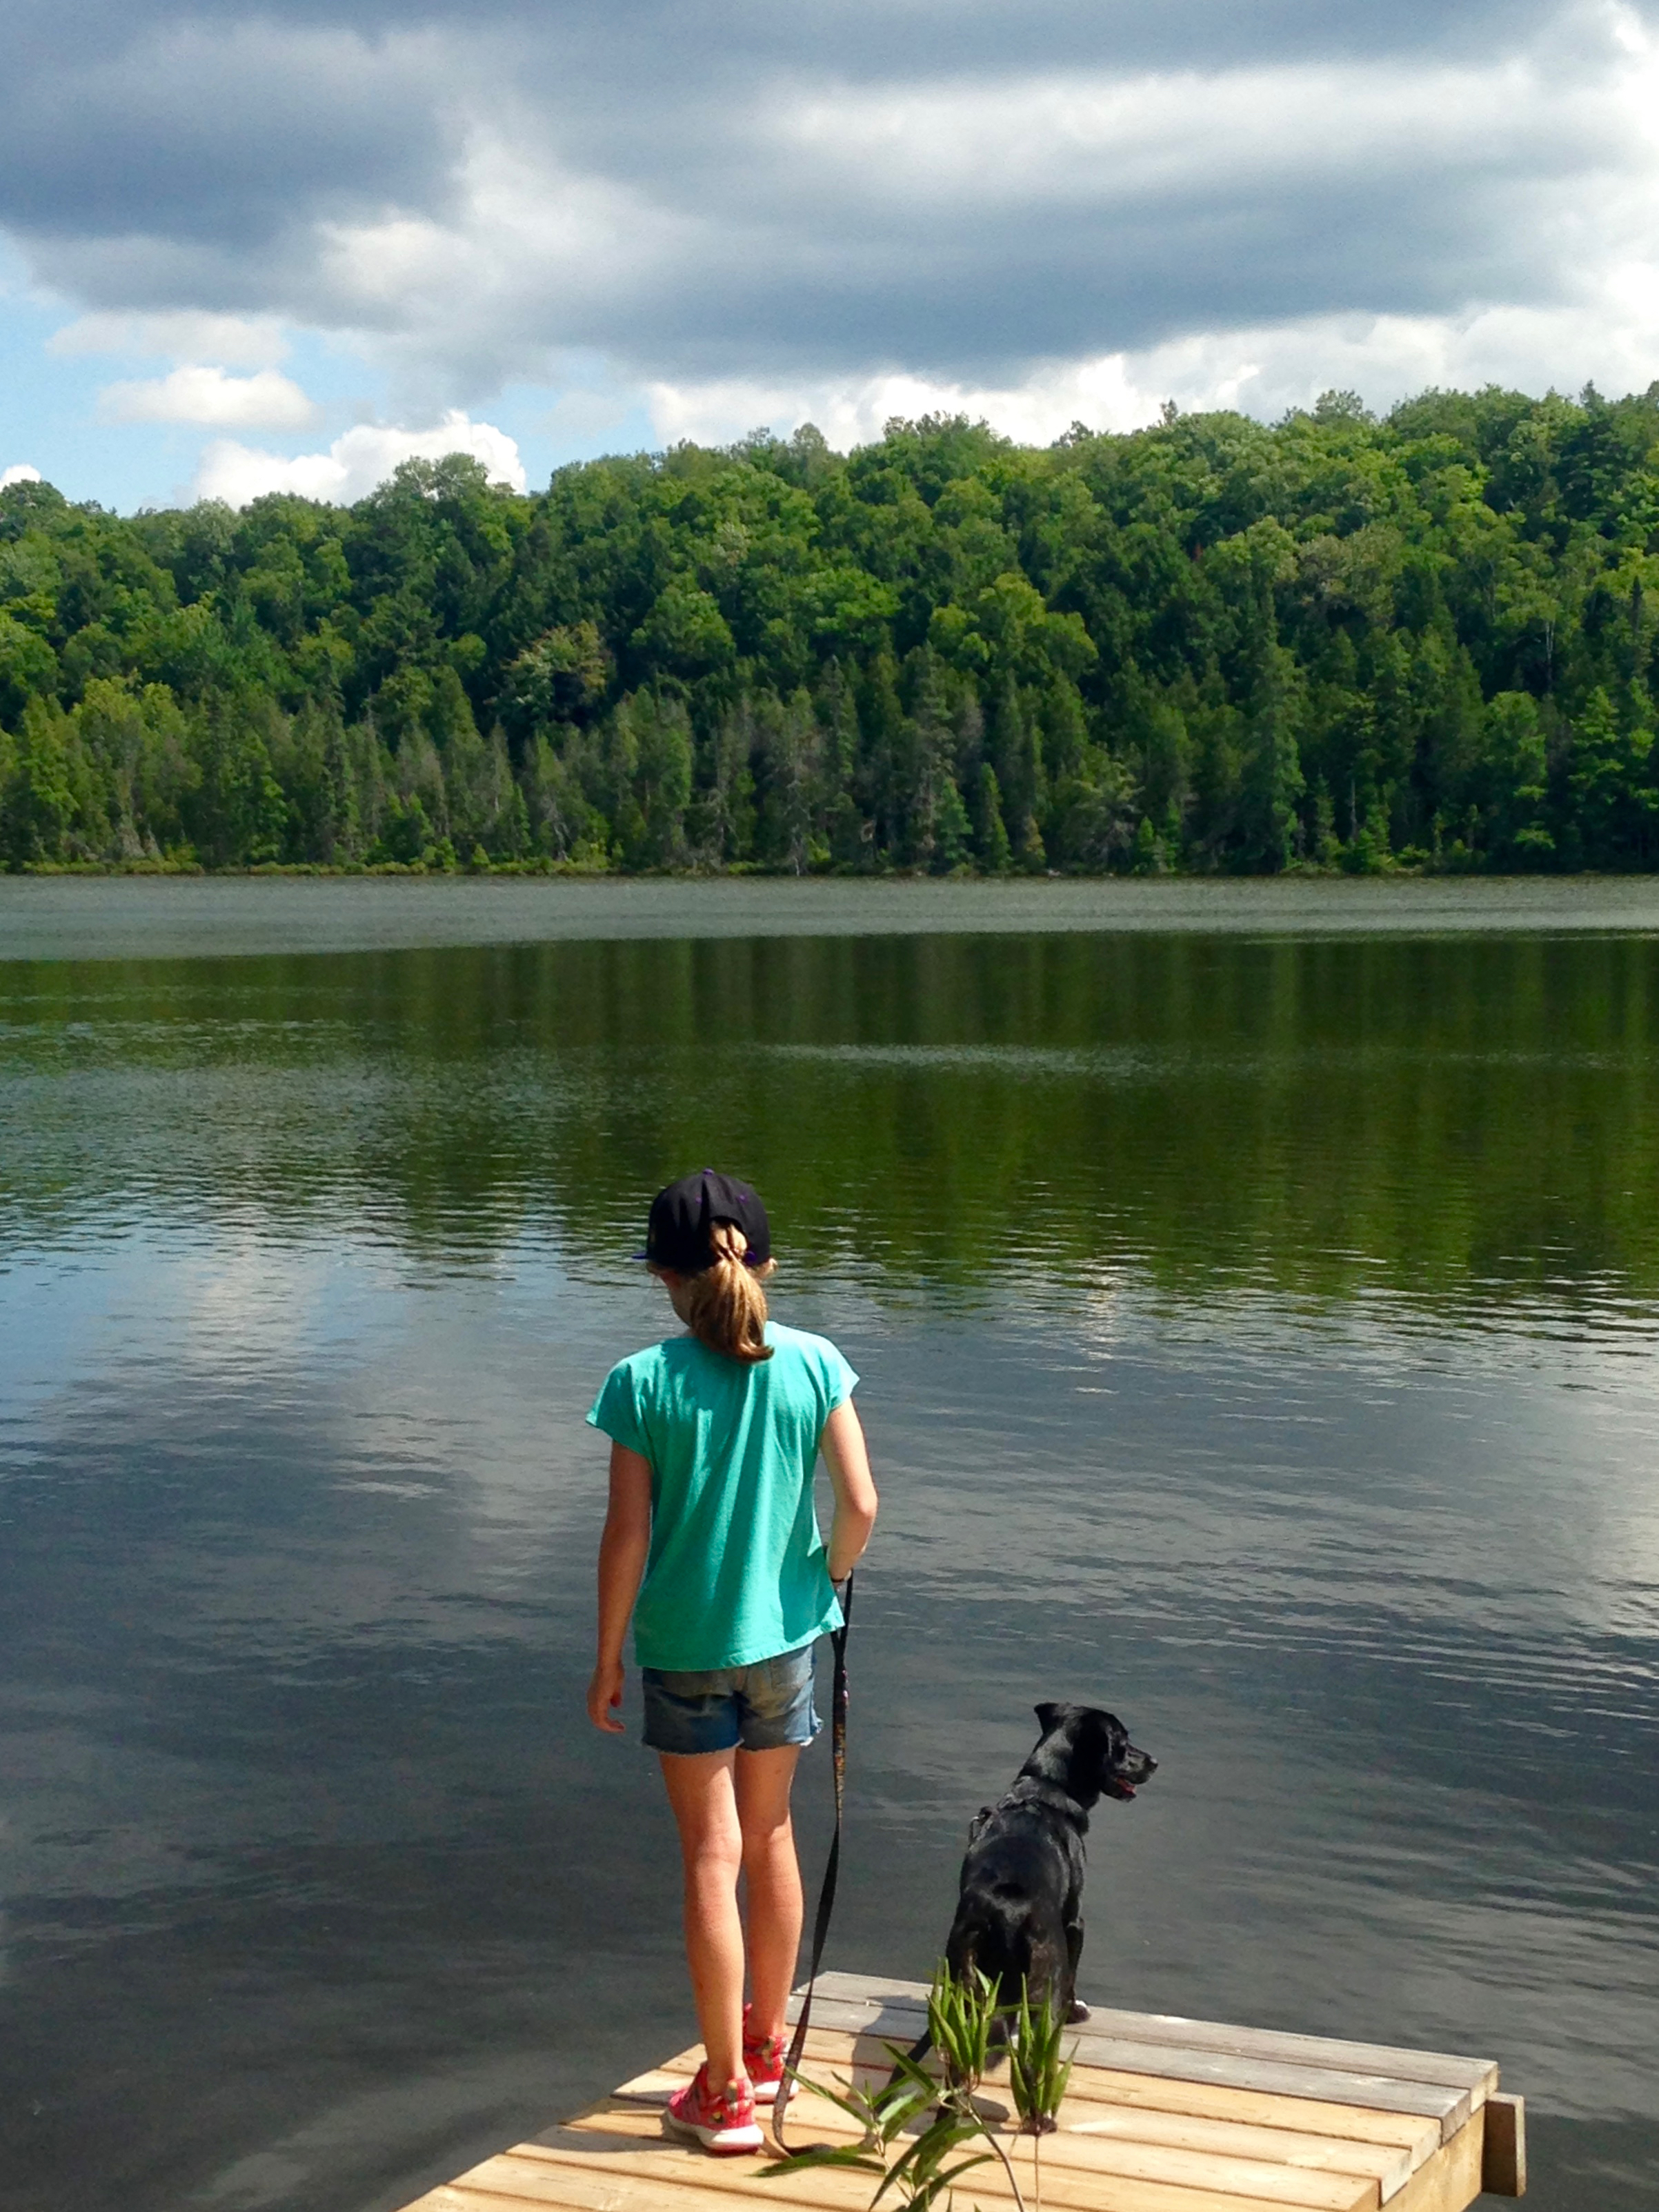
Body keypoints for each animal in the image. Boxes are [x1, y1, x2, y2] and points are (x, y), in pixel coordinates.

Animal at [946, 1698, 1159, 2026]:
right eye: (1122, 1743)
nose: (1154, 1761)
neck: (1045, 1787)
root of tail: (1007, 1913)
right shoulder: (1075, 1921)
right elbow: (1073, 1976)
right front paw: (1076, 2012)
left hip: (961, 1973)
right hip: (1047, 1971)